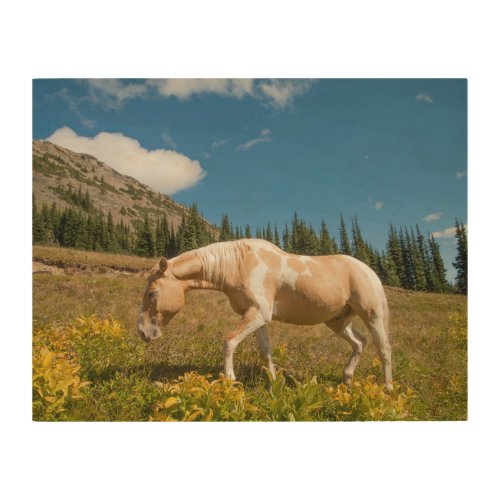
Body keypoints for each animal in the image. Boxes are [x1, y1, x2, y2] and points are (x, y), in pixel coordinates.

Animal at [138, 239, 394, 390]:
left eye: (152, 293)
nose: (142, 332)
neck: (240, 264)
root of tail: (368, 270)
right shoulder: (256, 318)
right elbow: (265, 352)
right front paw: (274, 385)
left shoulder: (259, 314)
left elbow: (229, 342)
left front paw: (230, 380)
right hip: (337, 321)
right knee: (359, 342)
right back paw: (347, 379)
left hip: (372, 315)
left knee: (384, 349)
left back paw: (388, 389)